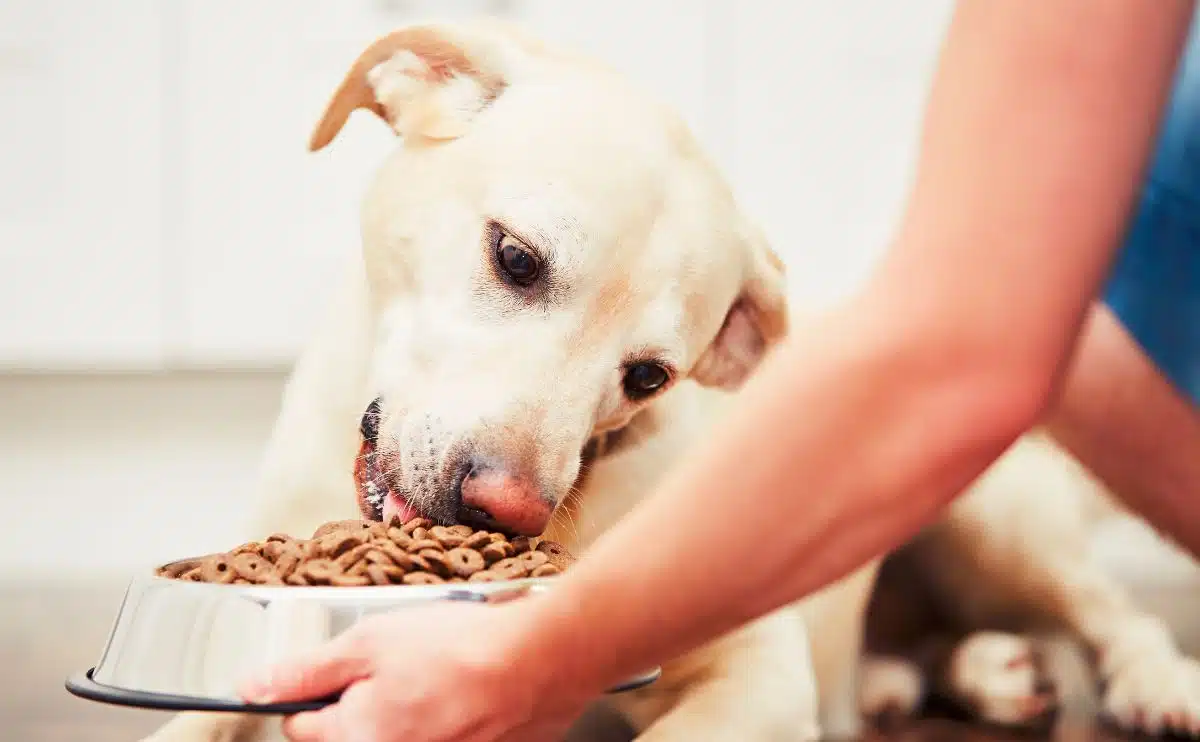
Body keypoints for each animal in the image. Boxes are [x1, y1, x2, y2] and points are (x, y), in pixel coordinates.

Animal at [145, 15, 1200, 739]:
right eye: (516, 258)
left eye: (650, 376)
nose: (508, 511)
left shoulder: (757, 671)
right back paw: (958, 673)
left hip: (990, 520)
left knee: (1109, 612)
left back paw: (1153, 683)